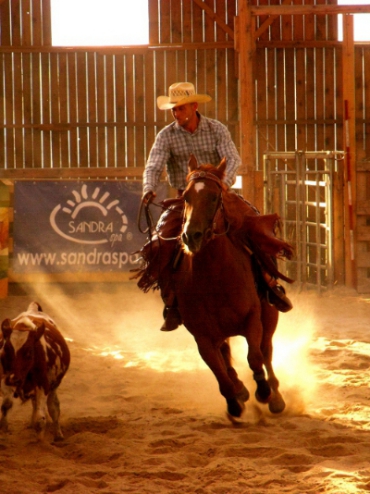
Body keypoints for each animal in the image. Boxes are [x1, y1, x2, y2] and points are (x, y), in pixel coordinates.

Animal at [0, 302, 70, 442]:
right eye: (6, 350)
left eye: (29, 353)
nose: (13, 379)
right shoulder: (4, 378)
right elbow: (6, 405)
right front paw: (3, 432)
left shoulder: (43, 384)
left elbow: (41, 418)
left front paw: (40, 443)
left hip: (53, 386)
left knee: (53, 407)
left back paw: (58, 435)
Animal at [168, 156, 286, 418]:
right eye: (186, 197)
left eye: (214, 197)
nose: (191, 236)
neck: (215, 277)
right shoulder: (202, 336)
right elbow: (220, 374)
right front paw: (235, 401)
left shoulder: (253, 318)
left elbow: (255, 357)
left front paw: (263, 392)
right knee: (227, 356)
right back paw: (241, 390)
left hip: (270, 313)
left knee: (267, 351)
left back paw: (276, 397)